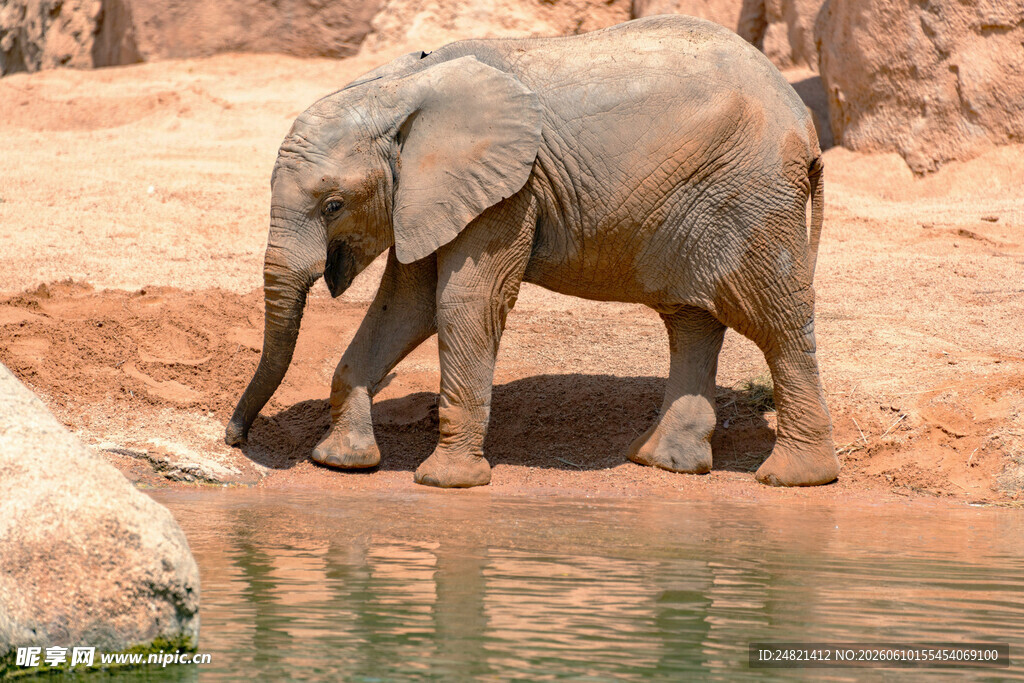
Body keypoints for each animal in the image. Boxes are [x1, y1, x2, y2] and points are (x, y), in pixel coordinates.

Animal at [225, 14, 839, 488]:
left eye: (333, 205)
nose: (234, 437)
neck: (399, 89)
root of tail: (803, 120)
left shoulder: (509, 189)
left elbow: (464, 303)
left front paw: (445, 483)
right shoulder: (430, 192)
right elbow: (405, 306)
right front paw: (342, 463)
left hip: (755, 195)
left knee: (776, 321)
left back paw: (794, 478)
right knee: (692, 320)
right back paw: (663, 463)